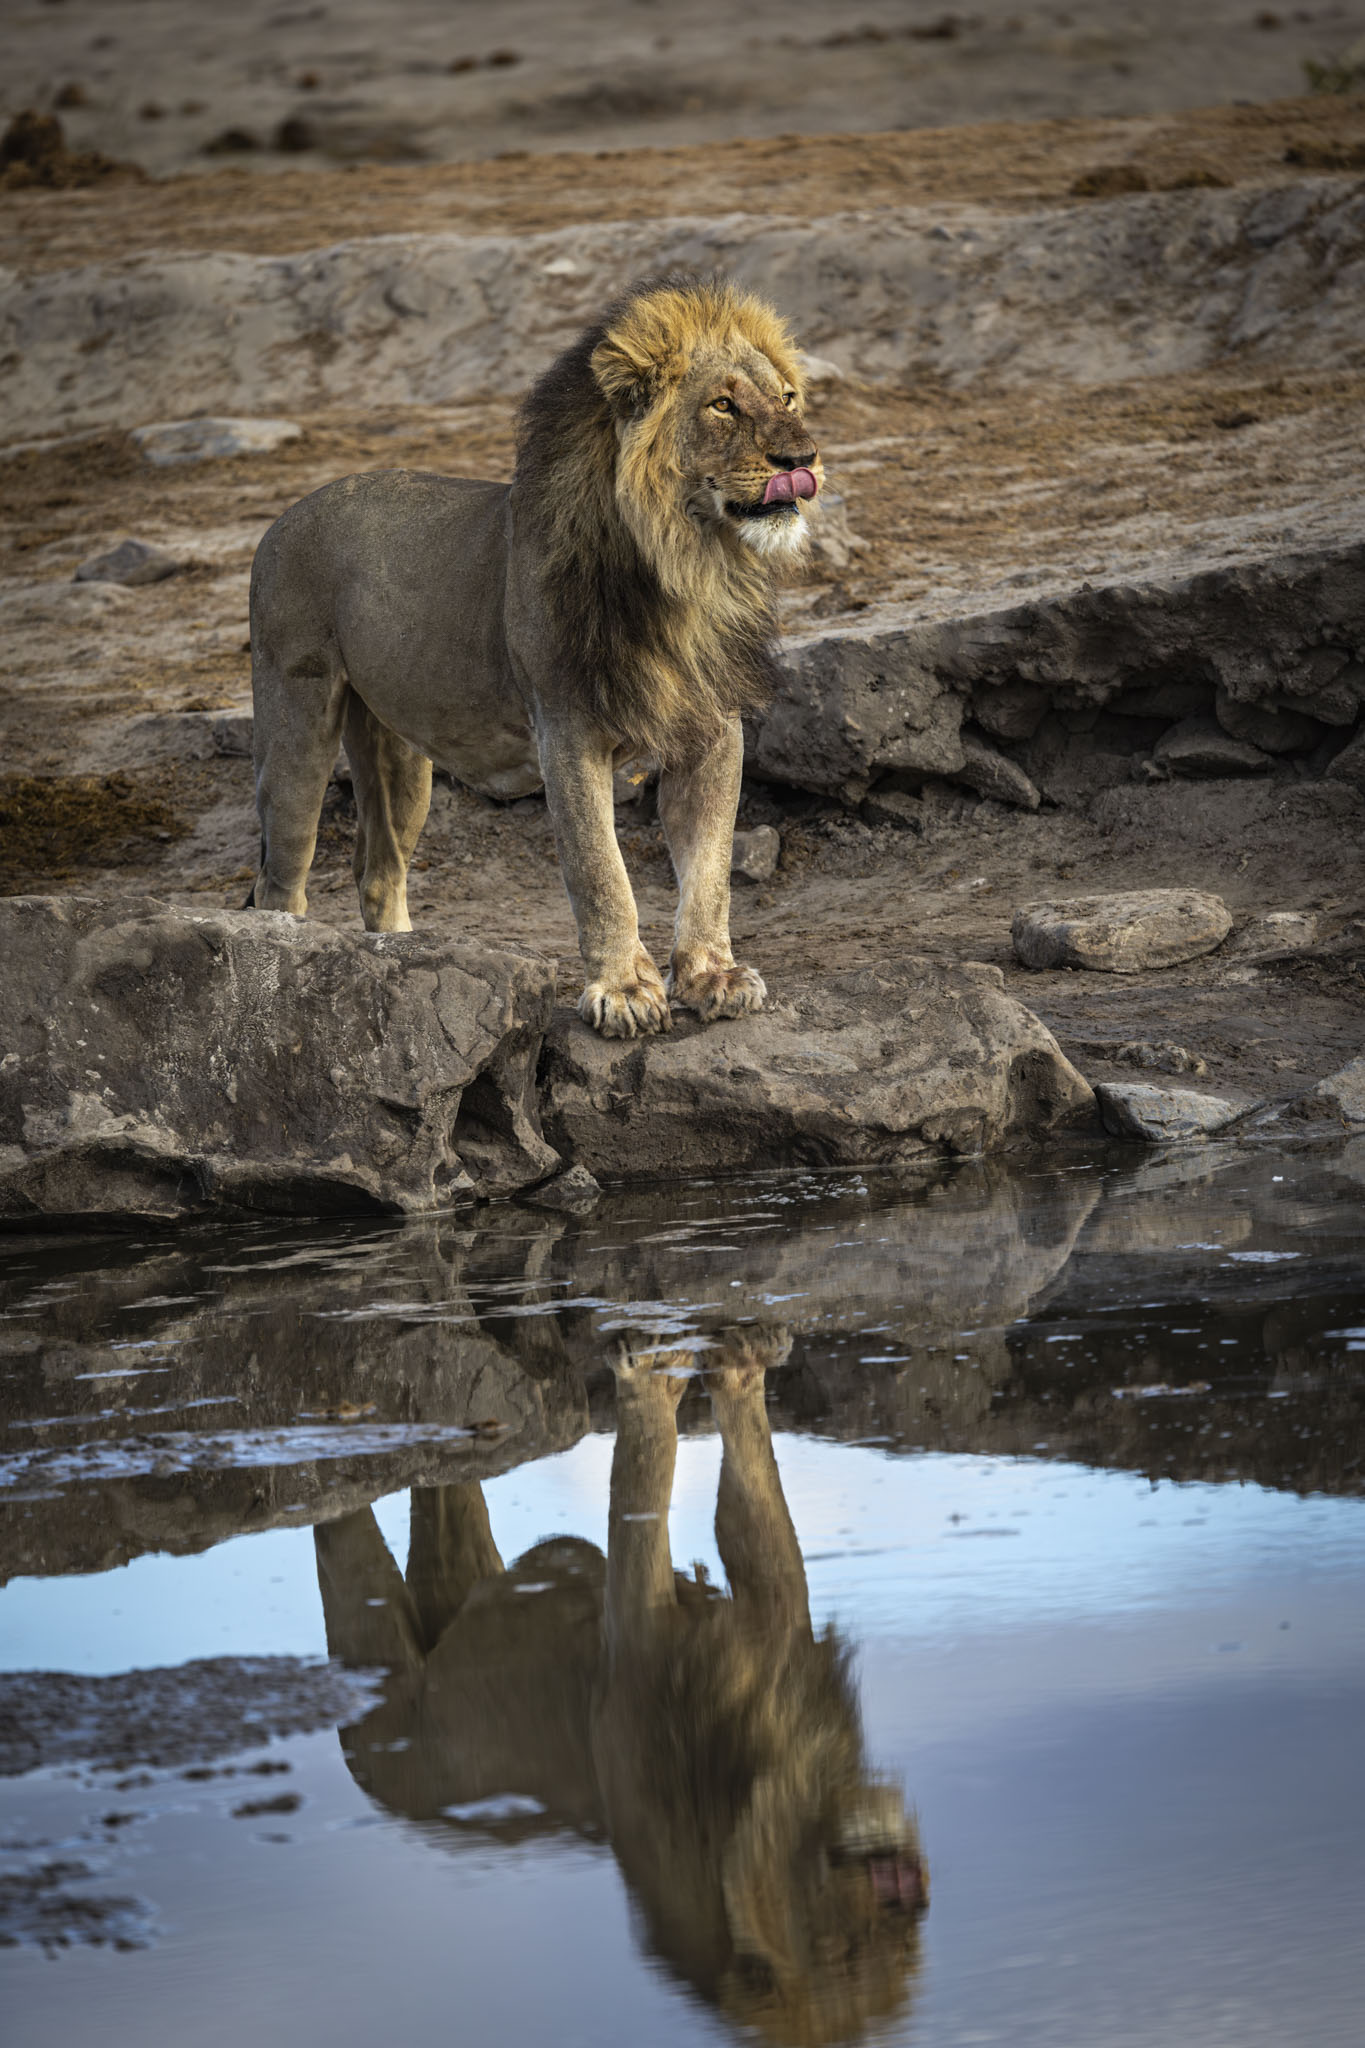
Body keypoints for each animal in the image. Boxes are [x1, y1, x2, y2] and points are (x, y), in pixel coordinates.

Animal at [247, 273, 823, 1037]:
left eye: (786, 398)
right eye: (722, 405)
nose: (803, 460)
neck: (686, 568)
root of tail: (282, 517)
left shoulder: (711, 729)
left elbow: (710, 869)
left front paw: (711, 976)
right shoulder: (567, 730)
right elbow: (600, 870)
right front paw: (623, 990)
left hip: (400, 755)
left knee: (379, 870)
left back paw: (401, 957)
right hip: (296, 718)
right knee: (280, 878)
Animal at [314, 1329, 927, 2046]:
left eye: (898, 1958)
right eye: (848, 1955)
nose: (907, 1895)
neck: (774, 1775)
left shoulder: (773, 1628)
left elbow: (752, 1492)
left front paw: (740, 1366)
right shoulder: (634, 1648)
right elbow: (646, 1477)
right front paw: (654, 1379)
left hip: (459, 1572)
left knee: (441, 1490)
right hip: (378, 1705)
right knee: (344, 1540)